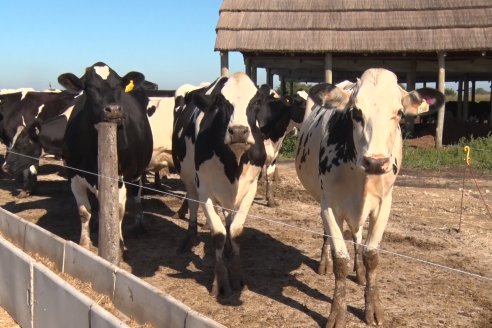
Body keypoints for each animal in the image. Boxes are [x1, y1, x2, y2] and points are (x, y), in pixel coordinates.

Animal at [58, 62, 153, 249]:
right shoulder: (73, 175)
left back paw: (139, 225)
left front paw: (119, 245)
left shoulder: (119, 177)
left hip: (137, 172)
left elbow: (118, 210)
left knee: (137, 195)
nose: (113, 110)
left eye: (120, 86)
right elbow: (84, 211)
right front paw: (84, 243)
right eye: (89, 87)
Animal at [171, 72, 306, 298]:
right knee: (193, 205)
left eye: (255, 102)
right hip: (189, 179)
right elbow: (217, 233)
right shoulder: (205, 189)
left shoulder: (249, 188)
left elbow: (235, 230)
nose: (239, 131)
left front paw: (236, 276)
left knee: (228, 216)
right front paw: (220, 282)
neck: (233, 161)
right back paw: (188, 238)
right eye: (221, 102)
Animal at [296, 68, 446, 326]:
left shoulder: (384, 204)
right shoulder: (330, 205)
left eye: (399, 113)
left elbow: (371, 255)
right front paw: (337, 312)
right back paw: (324, 263)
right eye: (356, 112)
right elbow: (340, 260)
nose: (375, 162)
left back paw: (360, 272)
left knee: (357, 236)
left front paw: (373, 307)